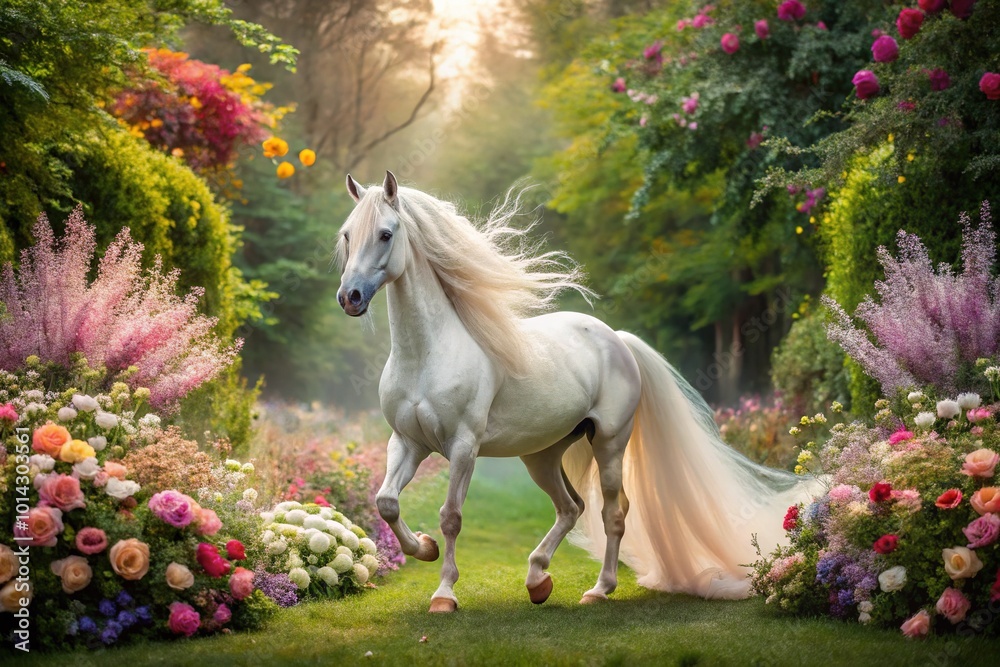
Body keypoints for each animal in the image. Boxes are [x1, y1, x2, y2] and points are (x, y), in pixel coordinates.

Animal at [336, 171, 819, 613]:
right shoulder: (408, 443)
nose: (350, 297)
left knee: (611, 514)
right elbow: (386, 503)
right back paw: (538, 580)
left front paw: (443, 594)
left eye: (385, 233)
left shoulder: (462, 448)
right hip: (541, 455)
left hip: (609, 444)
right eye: (347, 234)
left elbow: (451, 517)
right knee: (571, 508)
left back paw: (599, 589)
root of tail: (617, 339)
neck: (426, 354)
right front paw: (424, 547)